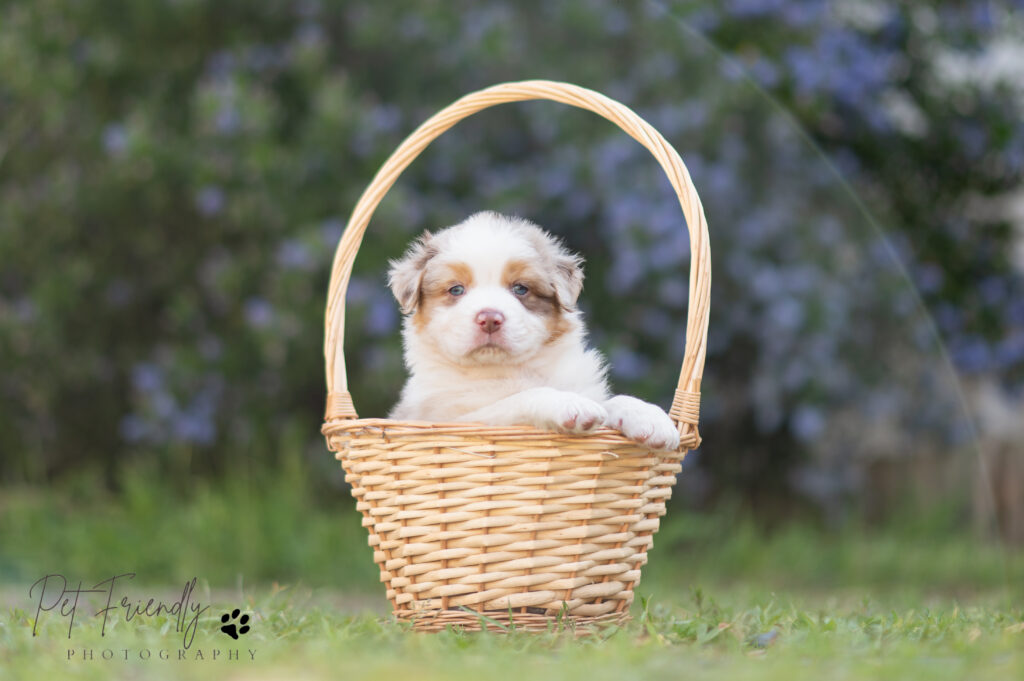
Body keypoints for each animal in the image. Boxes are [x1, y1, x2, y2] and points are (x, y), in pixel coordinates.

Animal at [385, 209, 679, 448]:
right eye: (456, 289)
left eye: (520, 288)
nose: (489, 318)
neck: (509, 369)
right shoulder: (458, 419)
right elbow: (522, 397)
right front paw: (570, 405)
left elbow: (612, 400)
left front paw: (652, 418)